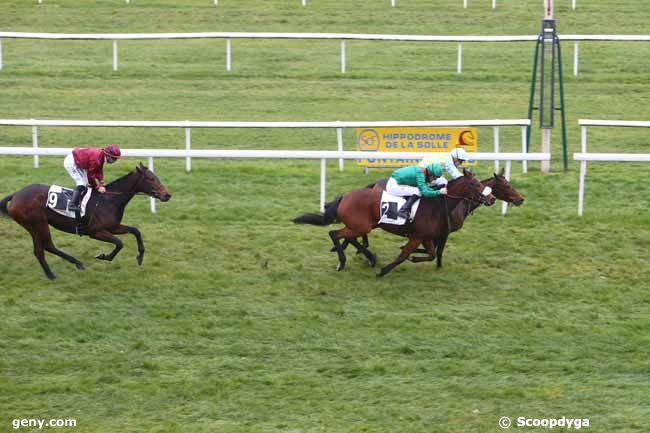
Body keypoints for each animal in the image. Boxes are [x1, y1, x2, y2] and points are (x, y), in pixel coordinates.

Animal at [0, 163, 171, 280]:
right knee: (46, 246)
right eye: (151, 178)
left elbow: (136, 231)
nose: (167, 195)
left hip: (34, 226)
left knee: (40, 249)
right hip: (37, 224)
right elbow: (119, 243)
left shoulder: (114, 227)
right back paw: (65, 268)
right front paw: (103, 256)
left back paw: (58, 270)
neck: (109, 200)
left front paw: (140, 256)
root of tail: (16, 195)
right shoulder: (95, 232)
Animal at [292, 167, 492, 276]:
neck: (436, 204)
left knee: (348, 237)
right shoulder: (417, 236)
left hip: (361, 225)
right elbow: (403, 256)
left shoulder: (425, 236)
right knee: (335, 234)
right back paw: (343, 262)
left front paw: (414, 258)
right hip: (361, 225)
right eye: (475, 184)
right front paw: (384, 271)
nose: (490, 199)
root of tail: (344, 196)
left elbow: (432, 254)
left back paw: (369, 258)